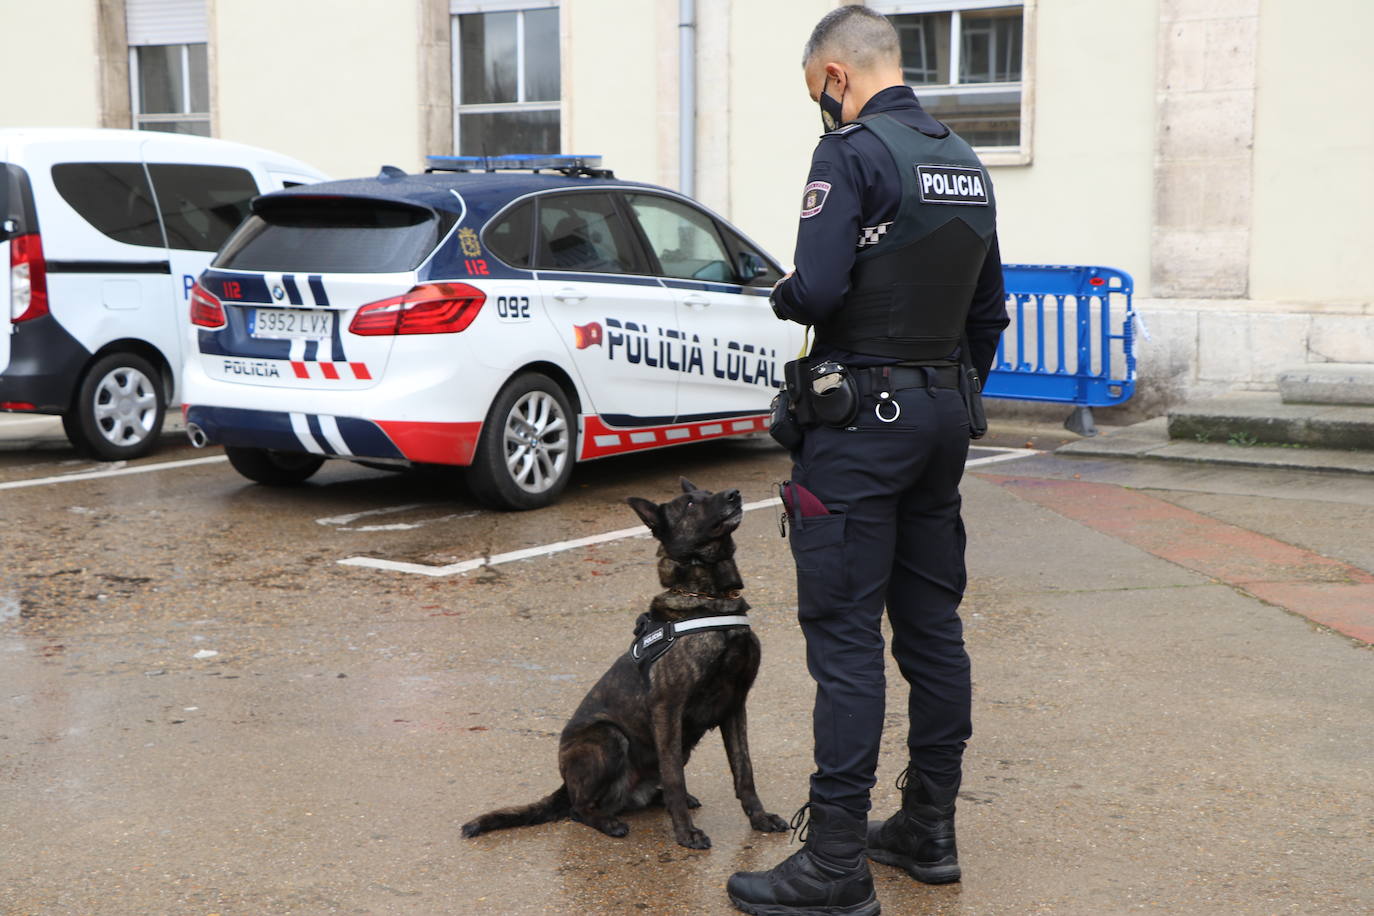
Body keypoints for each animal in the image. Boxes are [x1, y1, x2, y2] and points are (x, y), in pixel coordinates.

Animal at [458, 483, 791, 851]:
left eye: (708, 493)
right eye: (691, 503)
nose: (734, 494)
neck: (712, 599)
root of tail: (566, 786)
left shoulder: (735, 705)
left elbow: (744, 771)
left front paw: (759, 818)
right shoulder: (667, 708)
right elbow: (674, 777)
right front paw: (685, 833)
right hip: (608, 737)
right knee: (579, 809)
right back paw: (607, 821)